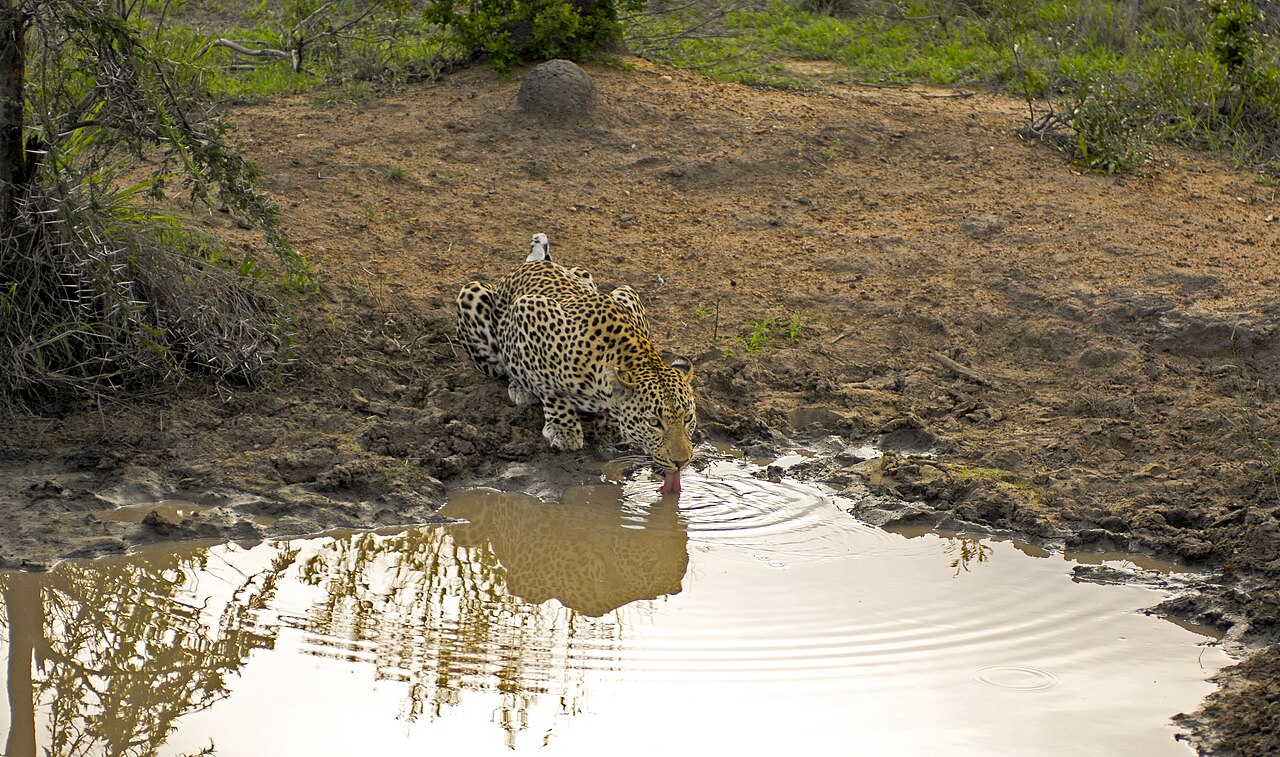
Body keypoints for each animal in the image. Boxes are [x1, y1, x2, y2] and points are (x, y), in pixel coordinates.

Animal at [455, 234, 696, 492]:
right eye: (654, 422)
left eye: (688, 418)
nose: (681, 462)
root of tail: (529, 264)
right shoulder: (528, 309)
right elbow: (549, 389)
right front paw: (564, 429)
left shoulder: (629, 299)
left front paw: (610, 426)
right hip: (472, 295)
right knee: (501, 367)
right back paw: (519, 387)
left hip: (599, 279)